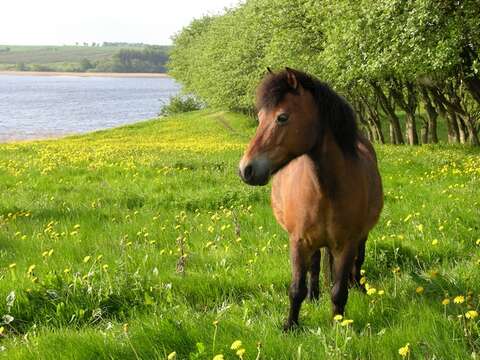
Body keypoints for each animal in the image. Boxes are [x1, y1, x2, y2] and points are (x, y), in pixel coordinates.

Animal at [239, 68, 382, 332]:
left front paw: (339, 325)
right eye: (260, 117)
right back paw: (314, 295)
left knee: (358, 260)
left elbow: (339, 291)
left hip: (360, 236)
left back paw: (358, 285)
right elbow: (296, 289)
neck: (326, 189)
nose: (246, 169)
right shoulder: (298, 242)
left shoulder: (346, 244)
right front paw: (290, 325)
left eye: (282, 117)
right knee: (315, 265)